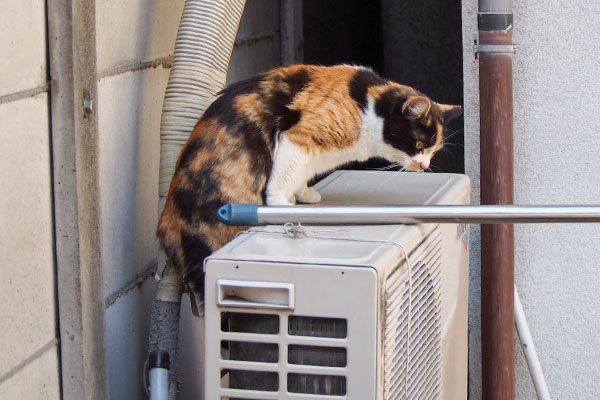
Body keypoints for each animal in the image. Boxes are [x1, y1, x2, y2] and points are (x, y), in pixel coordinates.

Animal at [157, 64, 462, 310]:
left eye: (433, 151)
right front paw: (281, 204)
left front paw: (304, 193)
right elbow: (283, 177)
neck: (369, 104)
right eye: (418, 145)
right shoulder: (299, 137)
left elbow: (299, 175)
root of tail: (165, 226)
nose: (424, 166)